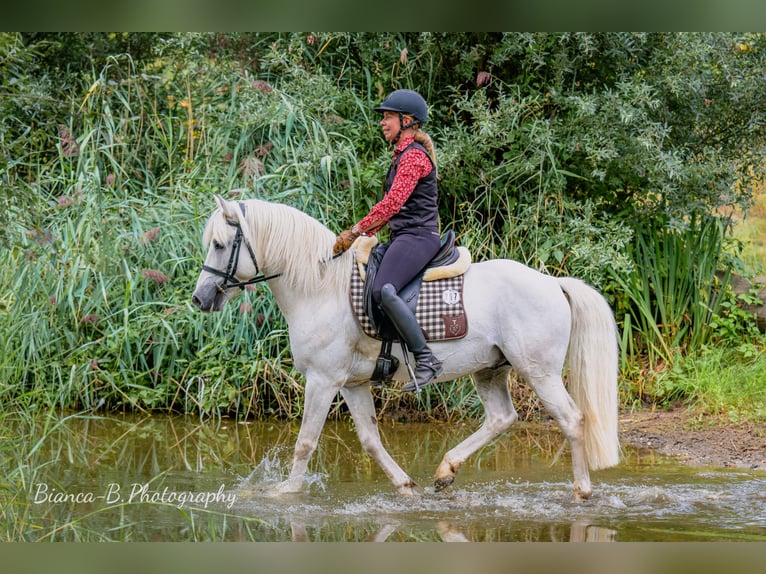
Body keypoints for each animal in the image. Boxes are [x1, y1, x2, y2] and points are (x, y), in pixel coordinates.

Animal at [192, 194, 621, 500]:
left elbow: (305, 442)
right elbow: (369, 439)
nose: (200, 298)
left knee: (572, 419)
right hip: (490, 369)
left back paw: (582, 491)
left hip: (539, 371)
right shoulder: (352, 384)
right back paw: (445, 471)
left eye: (220, 244)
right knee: (501, 418)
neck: (320, 286)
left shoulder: (323, 380)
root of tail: (553, 283)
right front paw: (405, 486)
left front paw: (286, 493)